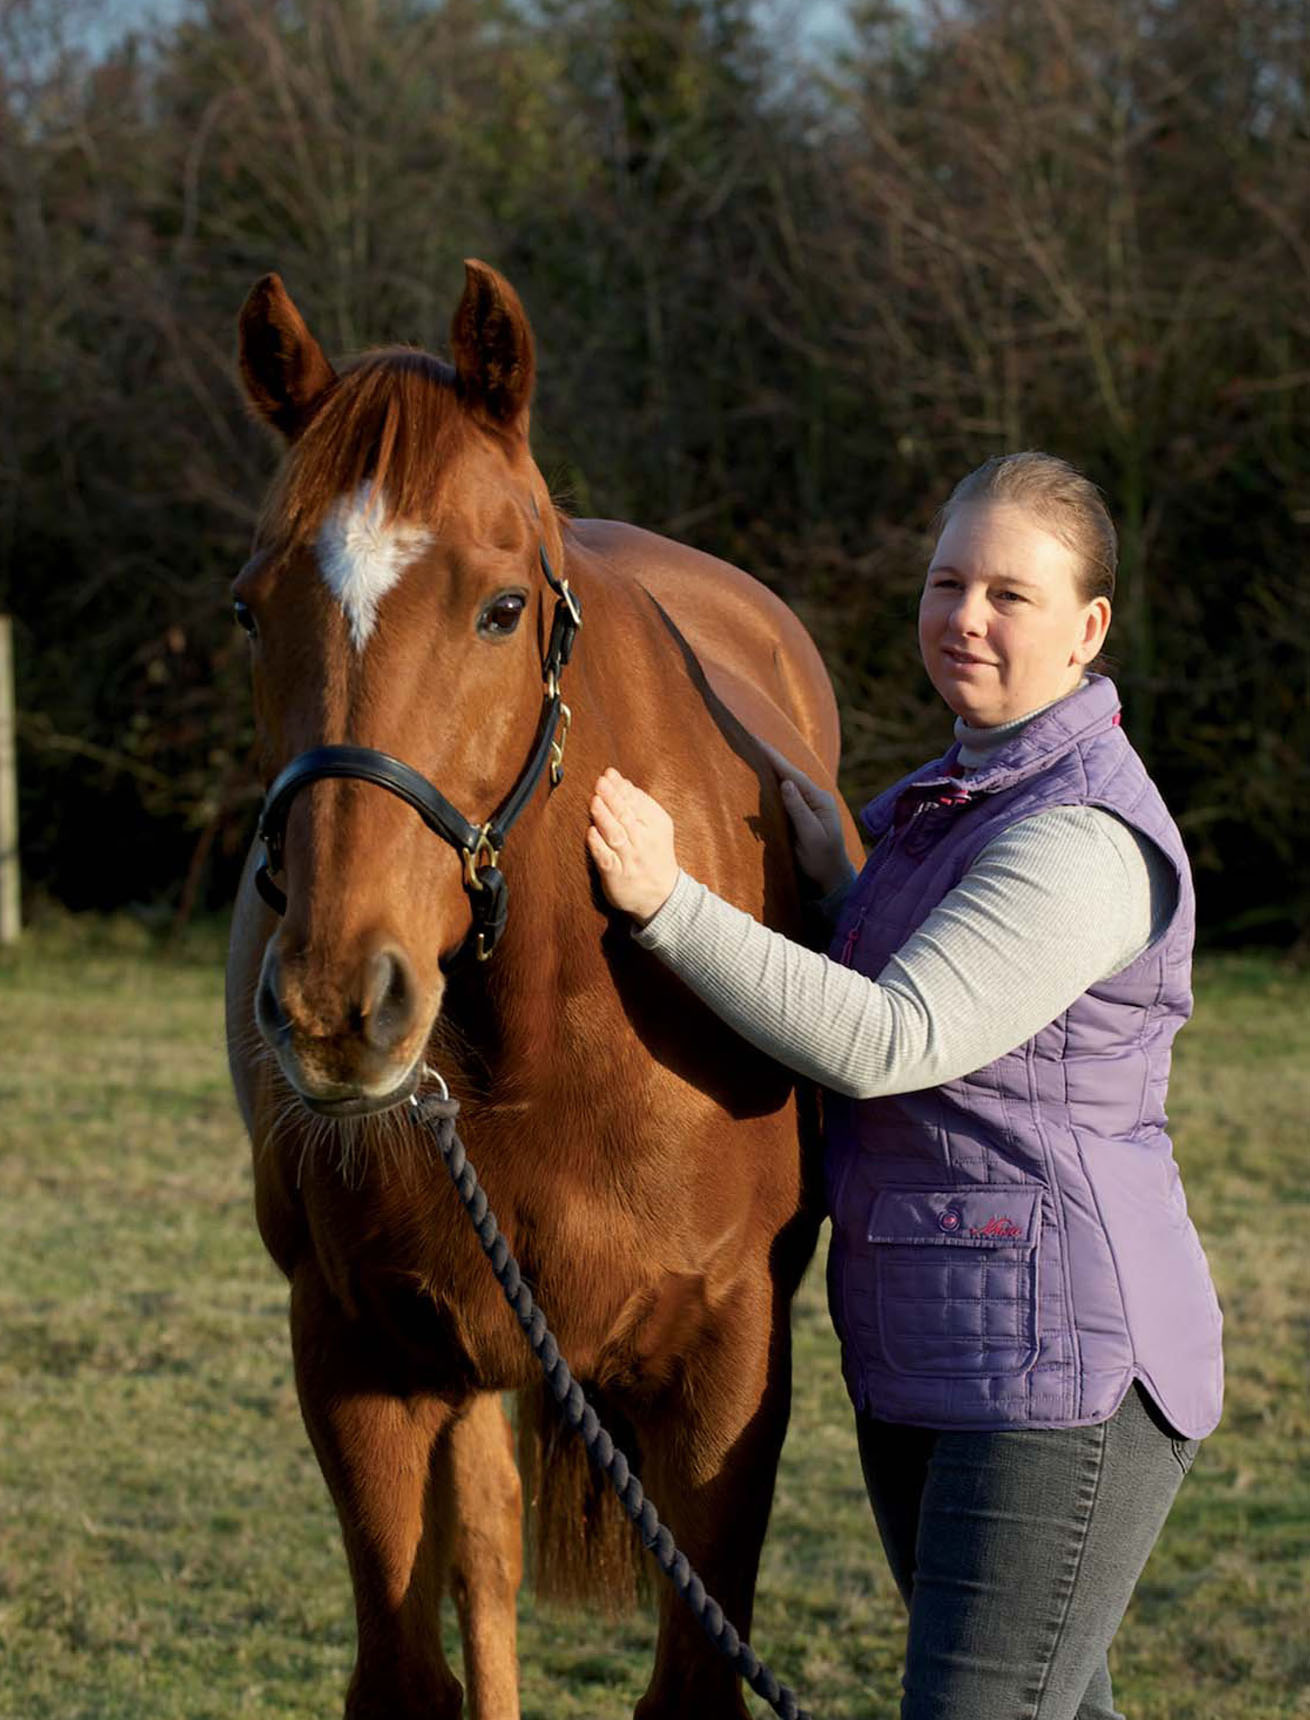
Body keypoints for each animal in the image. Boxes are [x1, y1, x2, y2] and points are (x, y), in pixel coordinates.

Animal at [225, 258, 856, 1720]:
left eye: (501, 607)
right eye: (250, 609)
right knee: (489, 1559)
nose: (338, 1006)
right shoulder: (363, 1356)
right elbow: (414, 1665)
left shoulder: (728, 1370)